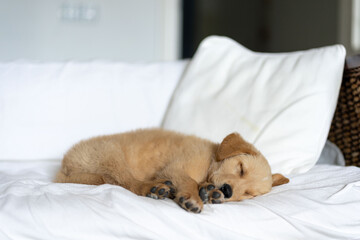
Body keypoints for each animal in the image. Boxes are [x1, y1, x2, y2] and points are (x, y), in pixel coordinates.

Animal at [54, 128, 290, 213]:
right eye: (241, 168)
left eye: (249, 194)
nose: (228, 190)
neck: (211, 159)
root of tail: (64, 167)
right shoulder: (176, 168)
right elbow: (189, 182)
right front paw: (193, 198)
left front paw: (209, 192)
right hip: (111, 153)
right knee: (129, 183)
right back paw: (154, 188)